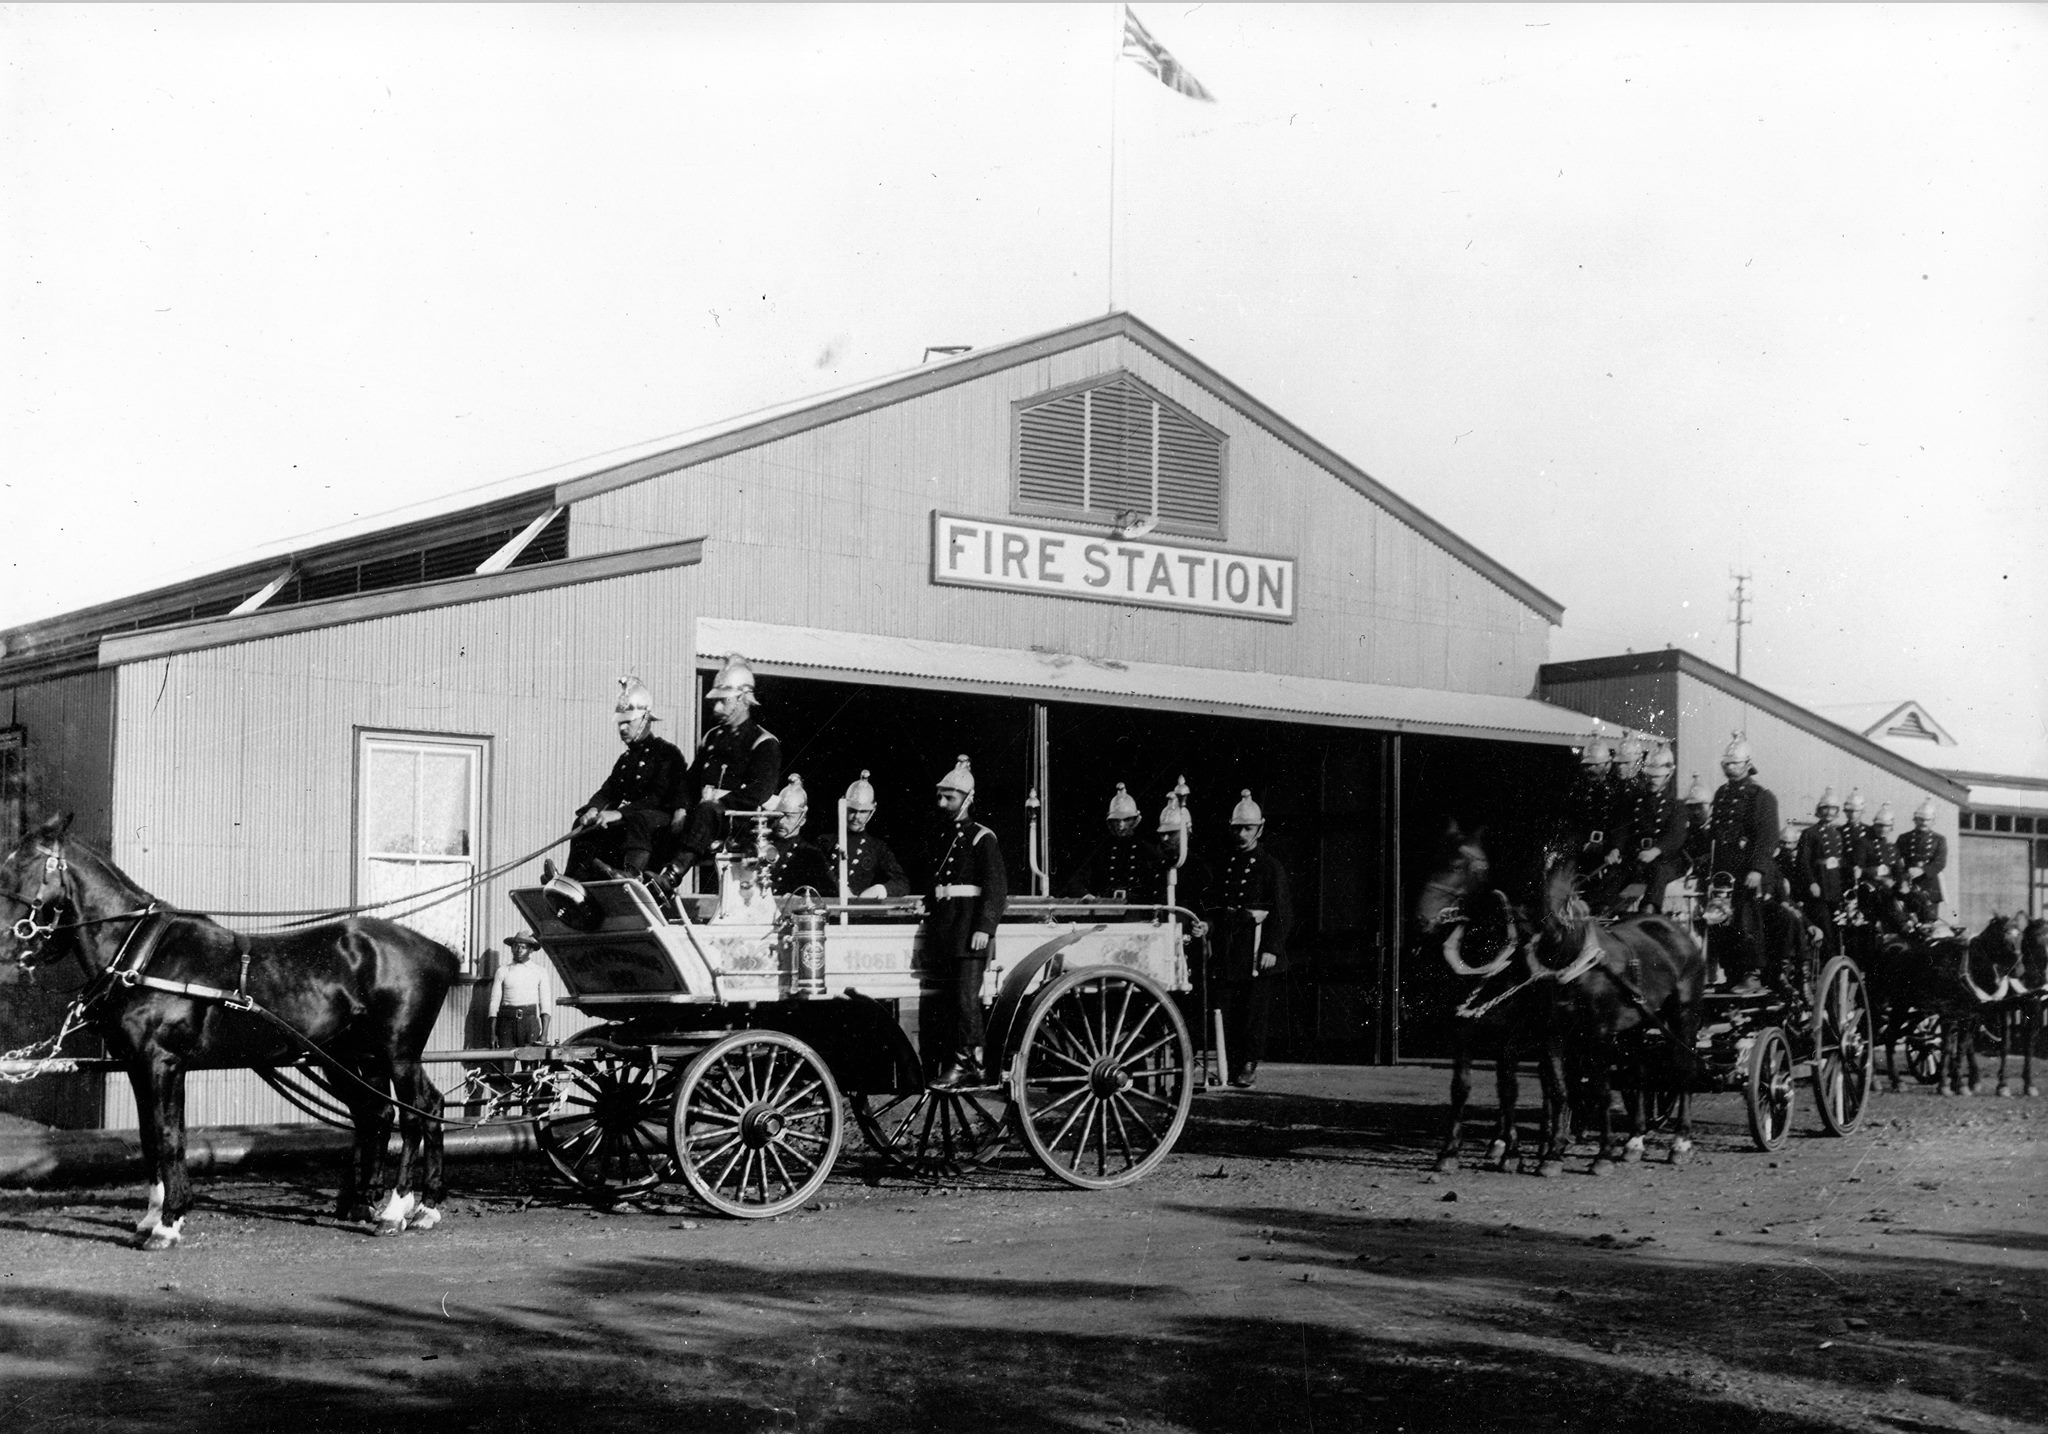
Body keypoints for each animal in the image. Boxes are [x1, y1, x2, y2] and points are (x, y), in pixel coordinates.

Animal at [0, 819, 456, 1245]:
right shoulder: (136, 1066)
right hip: (353, 1056)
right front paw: (152, 1217)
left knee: (414, 1114)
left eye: (22, 865)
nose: (7, 944)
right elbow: (149, 1138)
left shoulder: (164, 1063)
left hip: (398, 1052)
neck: (145, 957)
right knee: (385, 1112)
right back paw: (401, 1205)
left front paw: (168, 1223)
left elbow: (169, 1136)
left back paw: (396, 1210)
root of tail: (439, 952)